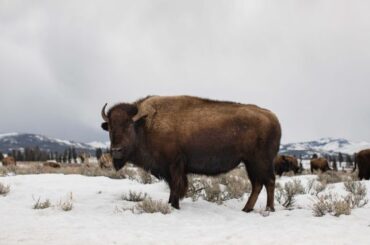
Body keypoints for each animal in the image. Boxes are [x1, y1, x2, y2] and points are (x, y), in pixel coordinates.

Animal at [101, 94, 280, 212]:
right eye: (110, 127)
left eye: (128, 125)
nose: (116, 151)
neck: (146, 124)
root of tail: (273, 117)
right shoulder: (170, 169)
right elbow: (173, 186)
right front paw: (170, 203)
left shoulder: (175, 165)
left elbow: (176, 186)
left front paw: (174, 205)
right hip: (250, 163)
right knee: (257, 184)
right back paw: (246, 209)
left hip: (261, 161)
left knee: (269, 181)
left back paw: (269, 209)